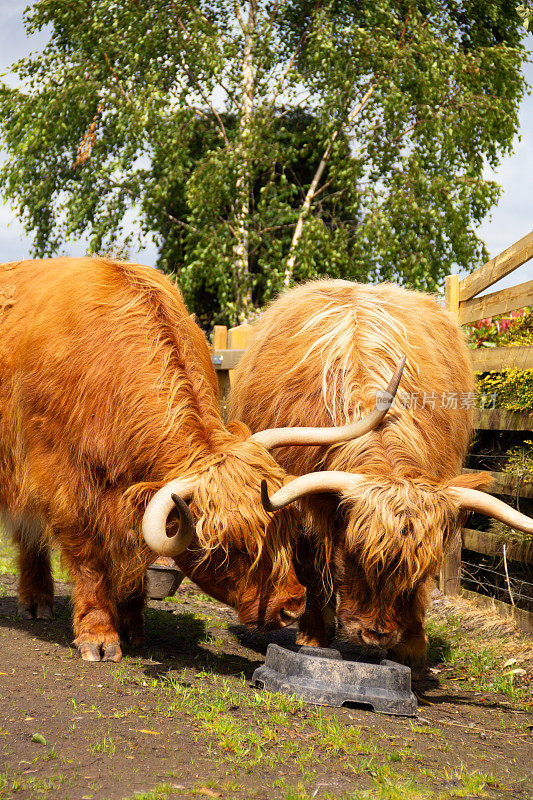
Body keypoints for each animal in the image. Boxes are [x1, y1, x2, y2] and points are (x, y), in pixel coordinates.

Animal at [230, 282, 532, 676]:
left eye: (419, 569)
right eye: (354, 556)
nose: (375, 635)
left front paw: (412, 650)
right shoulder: (302, 508)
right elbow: (312, 566)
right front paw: (312, 637)